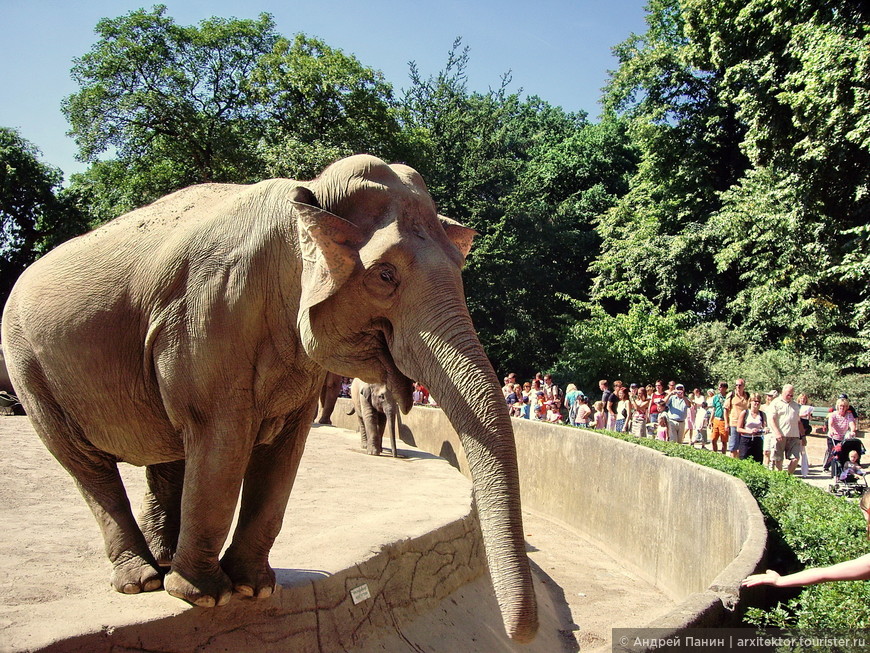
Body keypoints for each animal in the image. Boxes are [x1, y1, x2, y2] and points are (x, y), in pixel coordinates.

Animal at [1, 153, 540, 640]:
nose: (520, 633)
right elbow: (220, 441)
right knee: (87, 465)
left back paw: (165, 562)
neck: (309, 192)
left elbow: (285, 452)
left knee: (169, 453)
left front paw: (254, 589)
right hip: (27, 364)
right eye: (385, 275)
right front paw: (205, 597)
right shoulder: (208, 317)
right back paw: (142, 580)